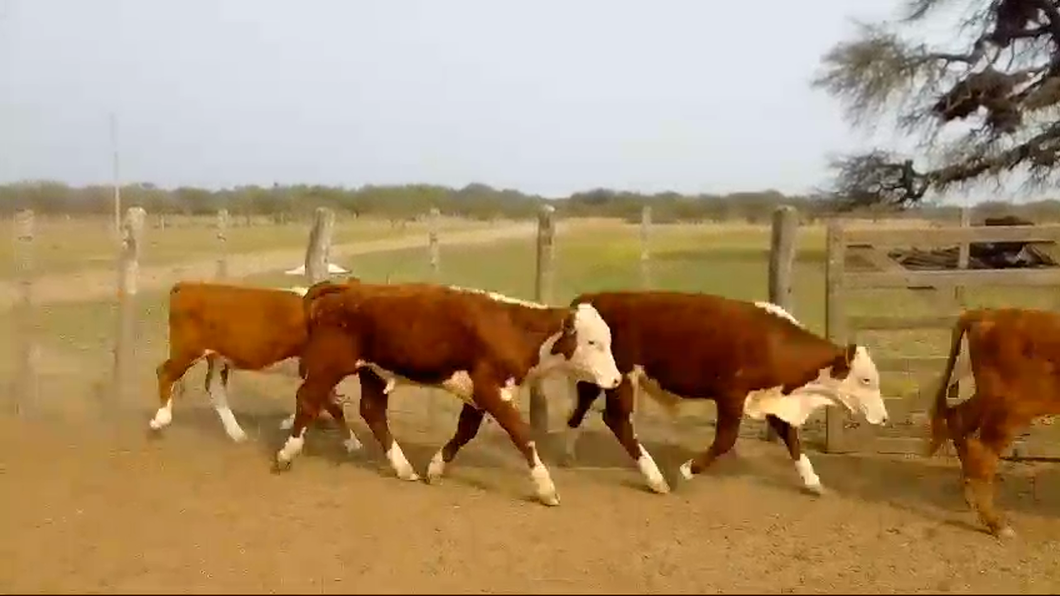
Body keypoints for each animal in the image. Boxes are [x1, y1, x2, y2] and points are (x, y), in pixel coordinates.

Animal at [150, 279, 356, 447]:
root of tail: (187, 285)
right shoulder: (319, 370)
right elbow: (333, 405)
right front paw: (353, 443)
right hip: (188, 350)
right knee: (165, 372)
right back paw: (161, 419)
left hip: (217, 357)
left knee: (214, 387)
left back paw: (237, 434)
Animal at [277, 279, 619, 502]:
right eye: (592, 342)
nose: (616, 380)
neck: (514, 328)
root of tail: (348, 288)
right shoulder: (492, 390)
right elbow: (522, 435)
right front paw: (546, 487)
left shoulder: (479, 395)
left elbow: (465, 430)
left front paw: (436, 467)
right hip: (331, 362)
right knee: (308, 398)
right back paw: (286, 454)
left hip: (372, 371)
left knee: (372, 412)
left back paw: (404, 468)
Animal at [563, 290, 886, 492]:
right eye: (866, 380)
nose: (884, 418)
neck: (772, 341)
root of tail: (593, 298)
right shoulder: (731, 395)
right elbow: (725, 440)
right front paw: (686, 471)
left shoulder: (769, 396)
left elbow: (792, 440)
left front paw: (813, 481)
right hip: (623, 379)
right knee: (617, 420)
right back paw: (655, 478)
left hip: (602, 378)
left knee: (580, 409)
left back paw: (568, 452)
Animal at [928, 307, 1060, 536]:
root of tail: (986, 313)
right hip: (1007, 410)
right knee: (983, 453)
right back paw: (996, 523)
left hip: (985, 400)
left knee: (958, 425)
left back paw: (970, 495)